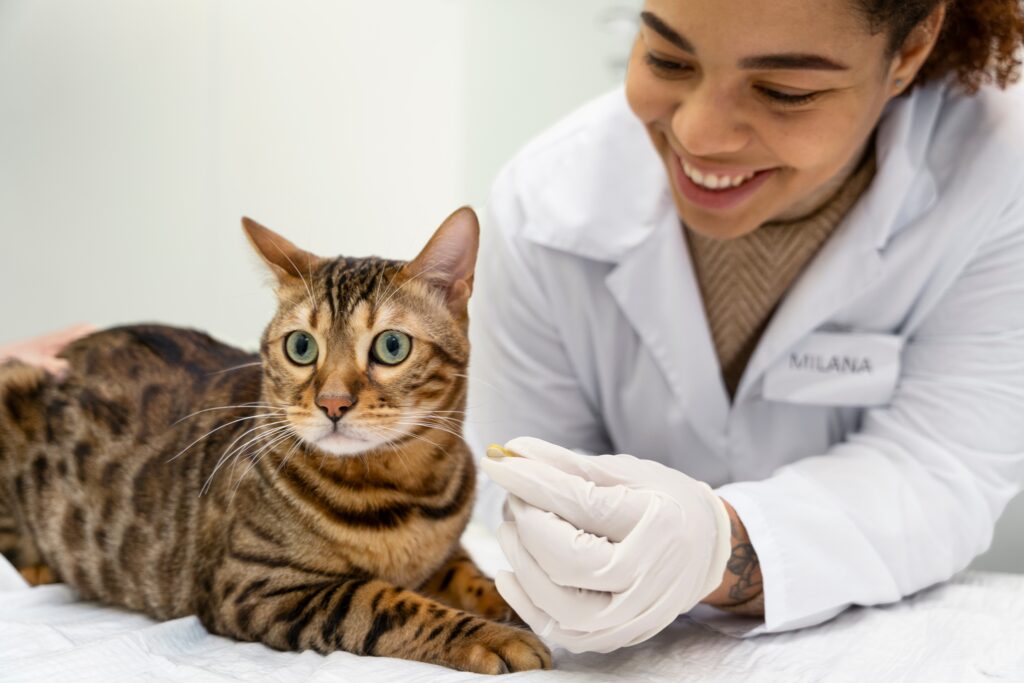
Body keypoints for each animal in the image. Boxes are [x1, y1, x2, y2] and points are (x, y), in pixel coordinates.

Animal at [0, 206, 552, 671]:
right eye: (301, 346)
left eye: (392, 346)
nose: (333, 403)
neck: (405, 489)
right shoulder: (257, 584)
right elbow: (384, 602)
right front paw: (493, 635)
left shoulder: (441, 556)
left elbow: (476, 577)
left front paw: (517, 603)